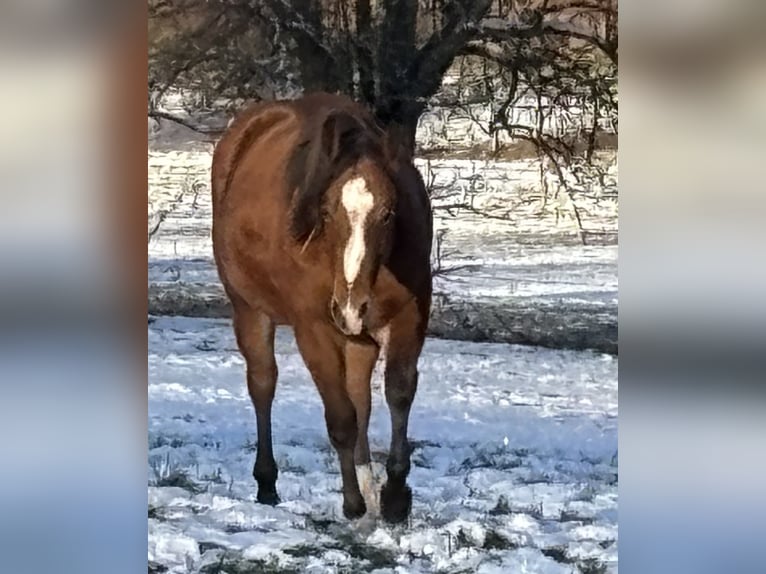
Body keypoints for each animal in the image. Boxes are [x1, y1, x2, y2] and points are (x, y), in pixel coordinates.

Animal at [211, 92, 432, 523]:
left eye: (388, 213)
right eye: (327, 212)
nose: (349, 304)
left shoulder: (410, 315)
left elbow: (397, 393)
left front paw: (395, 496)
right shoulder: (313, 329)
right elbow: (341, 417)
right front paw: (353, 503)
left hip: (359, 336)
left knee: (361, 397)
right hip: (249, 311)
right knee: (263, 385)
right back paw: (267, 483)